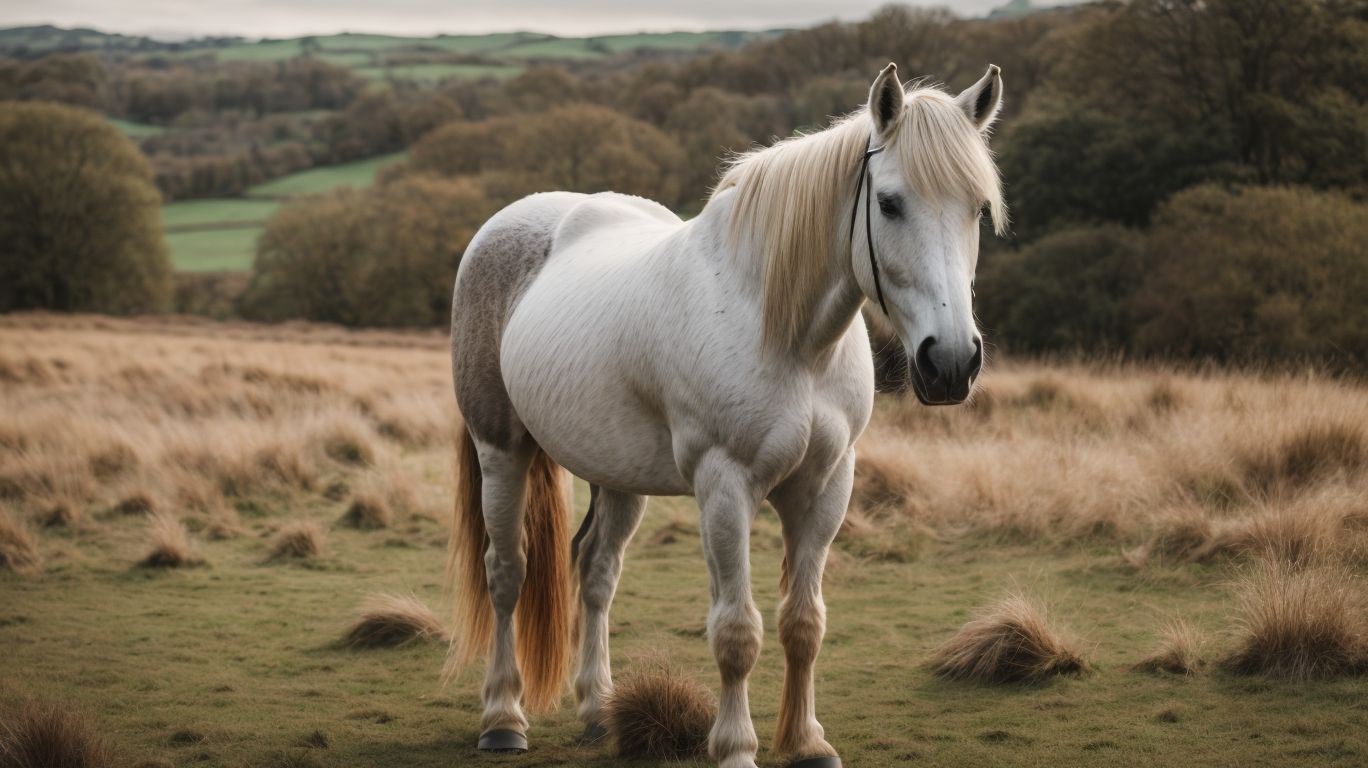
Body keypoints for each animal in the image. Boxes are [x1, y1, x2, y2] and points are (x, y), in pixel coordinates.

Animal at [445, 62, 1006, 768]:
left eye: (979, 209)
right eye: (889, 203)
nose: (952, 362)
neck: (786, 335)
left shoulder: (827, 487)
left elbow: (804, 621)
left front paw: (808, 741)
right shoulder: (725, 486)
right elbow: (738, 630)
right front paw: (737, 746)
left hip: (617, 474)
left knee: (595, 572)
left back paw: (599, 710)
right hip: (501, 449)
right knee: (507, 573)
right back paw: (502, 717)